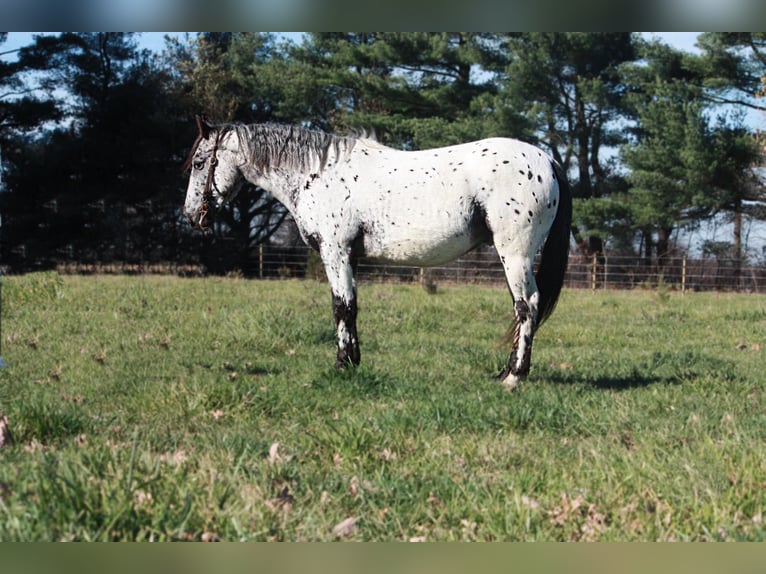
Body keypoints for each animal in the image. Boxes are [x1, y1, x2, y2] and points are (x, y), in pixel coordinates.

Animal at [184, 117, 568, 392]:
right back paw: (506, 371)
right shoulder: (349, 257)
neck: (318, 173)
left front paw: (341, 364)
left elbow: (340, 307)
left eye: (200, 163)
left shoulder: (335, 251)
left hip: (514, 253)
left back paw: (514, 377)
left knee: (527, 306)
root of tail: (547, 159)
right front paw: (353, 361)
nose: (190, 216)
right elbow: (352, 307)